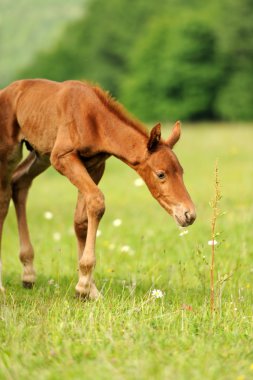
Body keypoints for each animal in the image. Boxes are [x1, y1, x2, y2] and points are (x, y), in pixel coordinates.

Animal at [0, 80, 196, 298]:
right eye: (161, 174)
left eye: (181, 171)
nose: (188, 214)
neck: (94, 119)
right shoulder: (62, 157)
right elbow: (97, 201)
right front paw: (85, 286)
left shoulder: (94, 166)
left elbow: (81, 220)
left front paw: (87, 289)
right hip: (10, 152)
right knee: (3, 200)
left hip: (40, 154)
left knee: (19, 182)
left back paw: (28, 273)